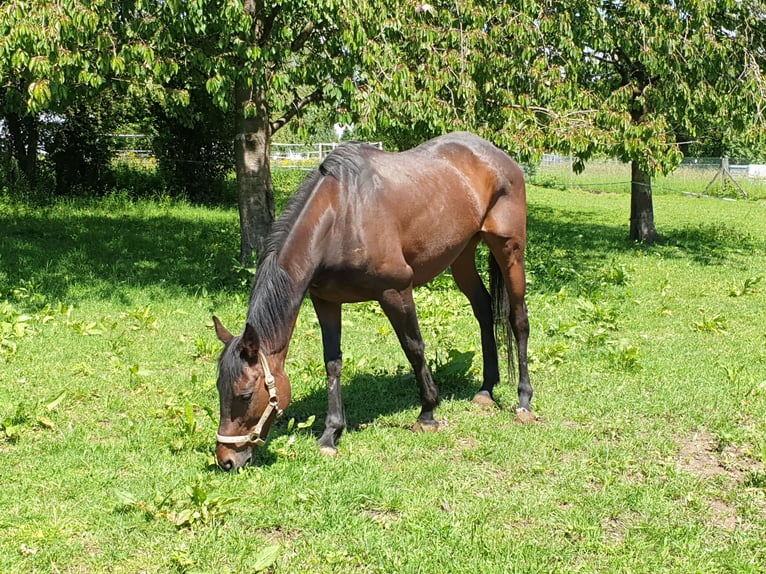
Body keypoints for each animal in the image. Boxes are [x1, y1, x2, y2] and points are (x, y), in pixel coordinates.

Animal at [210, 132, 536, 472]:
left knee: (518, 318)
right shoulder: (325, 300)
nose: (226, 459)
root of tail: (499, 156)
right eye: (219, 389)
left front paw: (428, 413)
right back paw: (486, 390)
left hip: (510, 250)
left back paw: (524, 401)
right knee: (484, 309)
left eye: (246, 394)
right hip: (462, 255)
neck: (342, 215)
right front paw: (331, 434)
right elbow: (332, 363)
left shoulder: (396, 291)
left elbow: (414, 348)